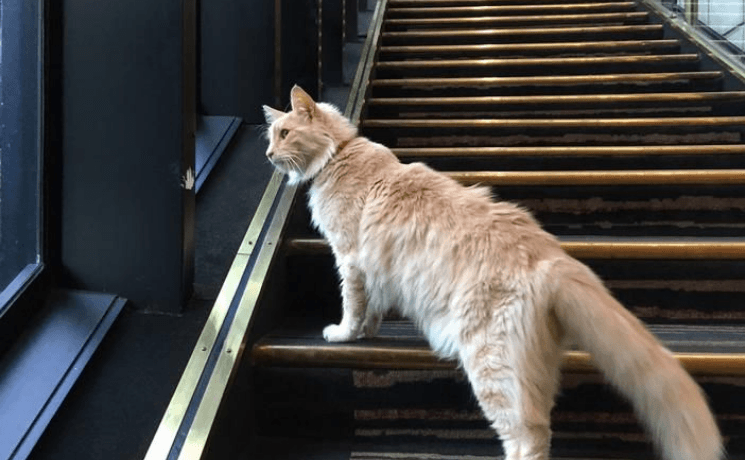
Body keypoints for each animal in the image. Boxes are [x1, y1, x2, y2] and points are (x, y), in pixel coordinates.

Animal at [262, 86, 720, 460]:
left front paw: (344, 333)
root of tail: (552, 258)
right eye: (270, 137)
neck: (340, 153)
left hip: (491, 361)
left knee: (526, 436)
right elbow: (371, 306)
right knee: (539, 426)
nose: (267, 155)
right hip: (529, 369)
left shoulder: (350, 257)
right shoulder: (374, 268)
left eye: (283, 134)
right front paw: (368, 332)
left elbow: (352, 303)